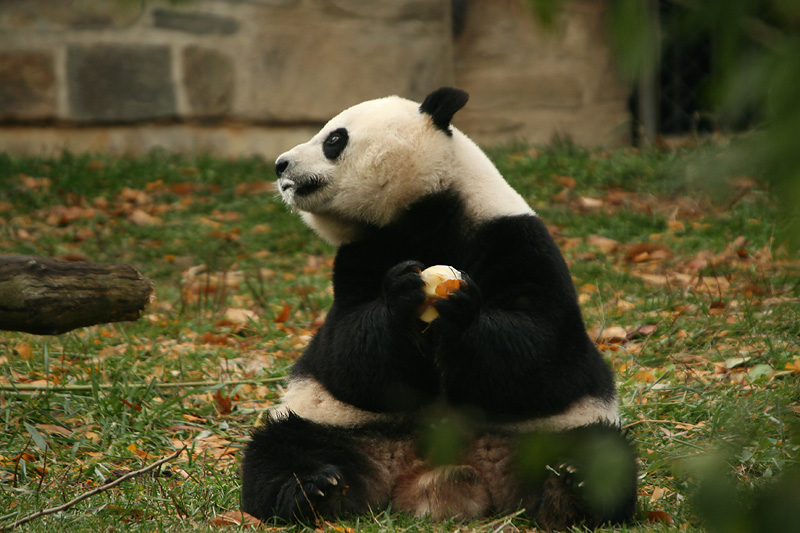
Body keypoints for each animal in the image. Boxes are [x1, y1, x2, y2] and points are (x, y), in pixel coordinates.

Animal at [239, 87, 636, 528]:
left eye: (334, 139)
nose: (280, 164)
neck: (426, 213)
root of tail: (436, 475)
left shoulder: (515, 238)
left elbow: (540, 349)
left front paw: (463, 310)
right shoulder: (359, 255)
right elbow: (349, 353)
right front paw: (400, 294)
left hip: (547, 430)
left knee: (599, 453)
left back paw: (573, 489)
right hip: (339, 423)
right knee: (281, 450)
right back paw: (313, 489)